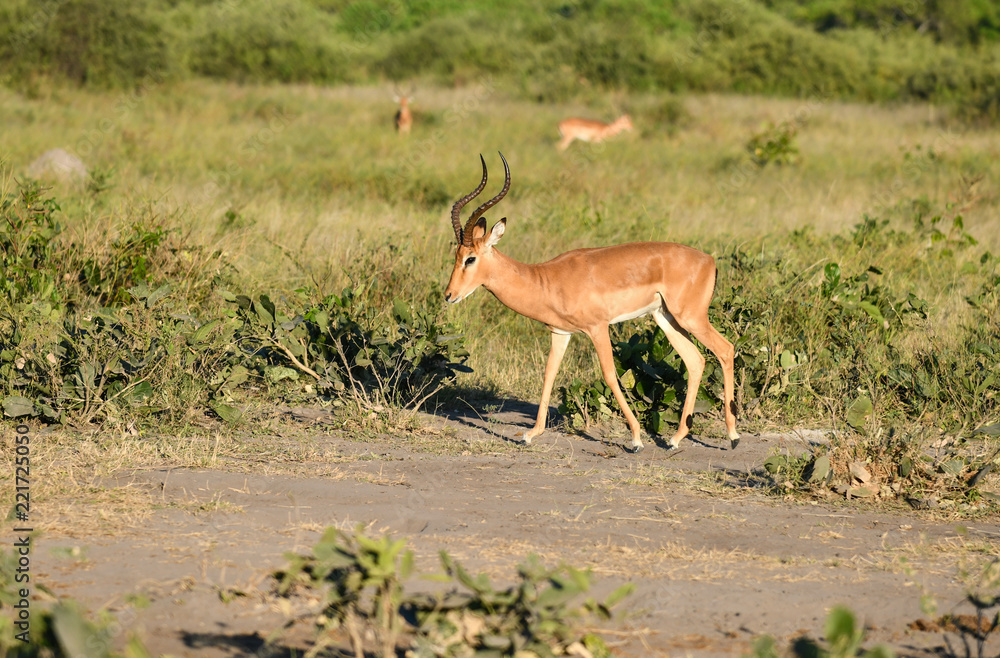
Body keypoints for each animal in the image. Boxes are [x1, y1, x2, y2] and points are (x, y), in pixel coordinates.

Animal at [444, 153, 739, 453]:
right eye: (456, 255)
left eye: (470, 258)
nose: (449, 295)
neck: (545, 280)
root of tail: (709, 260)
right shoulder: (560, 333)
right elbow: (549, 374)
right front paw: (531, 434)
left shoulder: (598, 327)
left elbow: (609, 374)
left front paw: (635, 439)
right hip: (666, 318)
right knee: (696, 360)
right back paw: (675, 439)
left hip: (691, 317)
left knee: (725, 349)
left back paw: (733, 437)